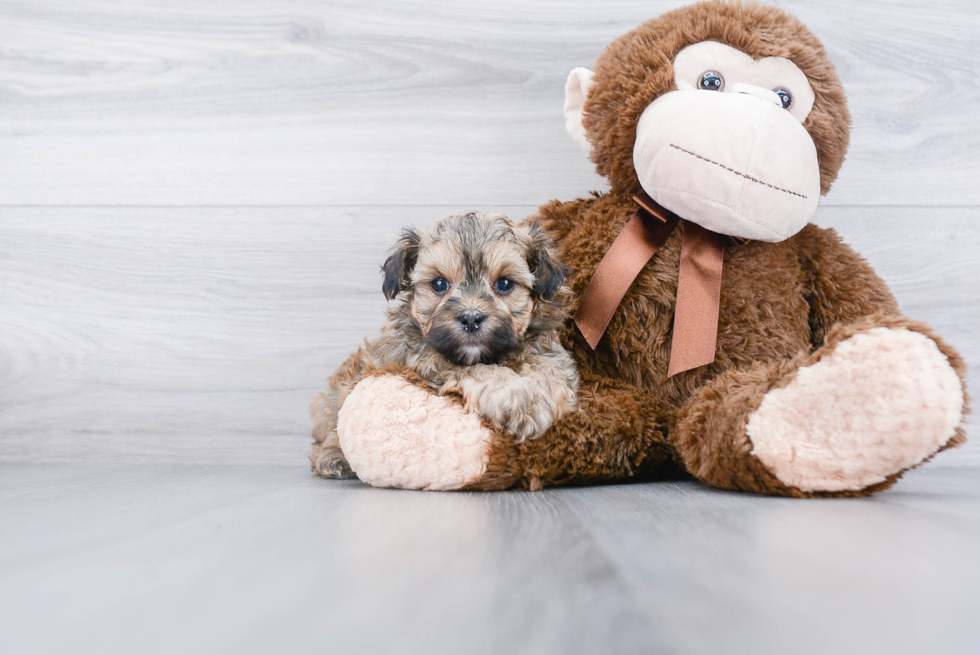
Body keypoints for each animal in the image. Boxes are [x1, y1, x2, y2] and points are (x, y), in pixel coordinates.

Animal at [310, 213, 580, 480]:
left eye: (504, 284)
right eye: (439, 284)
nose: (471, 318)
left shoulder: (547, 349)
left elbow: (549, 368)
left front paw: (536, 402)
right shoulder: (426, 360)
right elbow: (481, 370)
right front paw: (516, 398)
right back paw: (333, 458)